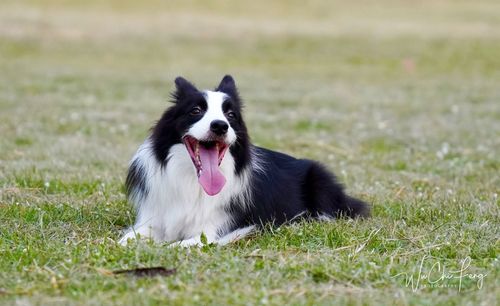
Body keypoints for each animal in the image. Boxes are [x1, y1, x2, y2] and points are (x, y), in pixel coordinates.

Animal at [117, 76, 368, 246]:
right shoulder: (156, 216)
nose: (220, 126)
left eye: (230, 115)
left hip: (319, 179)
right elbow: (128, 238)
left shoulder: (215, 228)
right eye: (196, 110)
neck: (192, 182)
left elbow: (181, 244)